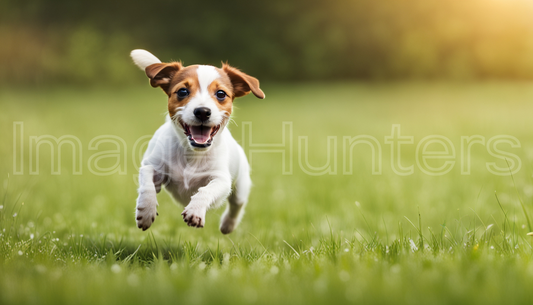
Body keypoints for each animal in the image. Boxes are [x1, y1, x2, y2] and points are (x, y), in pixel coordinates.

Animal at [131, 50, 264, 234]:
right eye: (182, 91)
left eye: (221, 94)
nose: (202, 111)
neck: (192, 153)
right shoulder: (152, 165)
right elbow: (147, 183)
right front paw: (146, 210)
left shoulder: (221, 179)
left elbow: (206, 191)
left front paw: (195, 210)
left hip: (241, 186)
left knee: (237, 205)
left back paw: (228, 225)